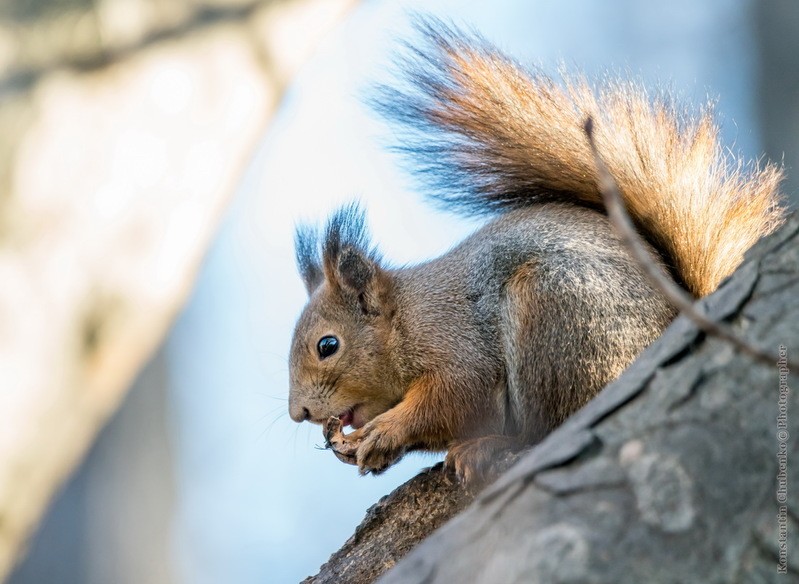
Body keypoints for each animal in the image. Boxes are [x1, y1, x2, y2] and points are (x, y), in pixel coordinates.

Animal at [286, 19, 780, 484]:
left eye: (327, 345)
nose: (299, 414)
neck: (405, 318)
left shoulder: (456, 342)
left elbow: (453, 399)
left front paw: (385, 431)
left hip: (554, 314)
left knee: (548, 425)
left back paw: (492, 447)